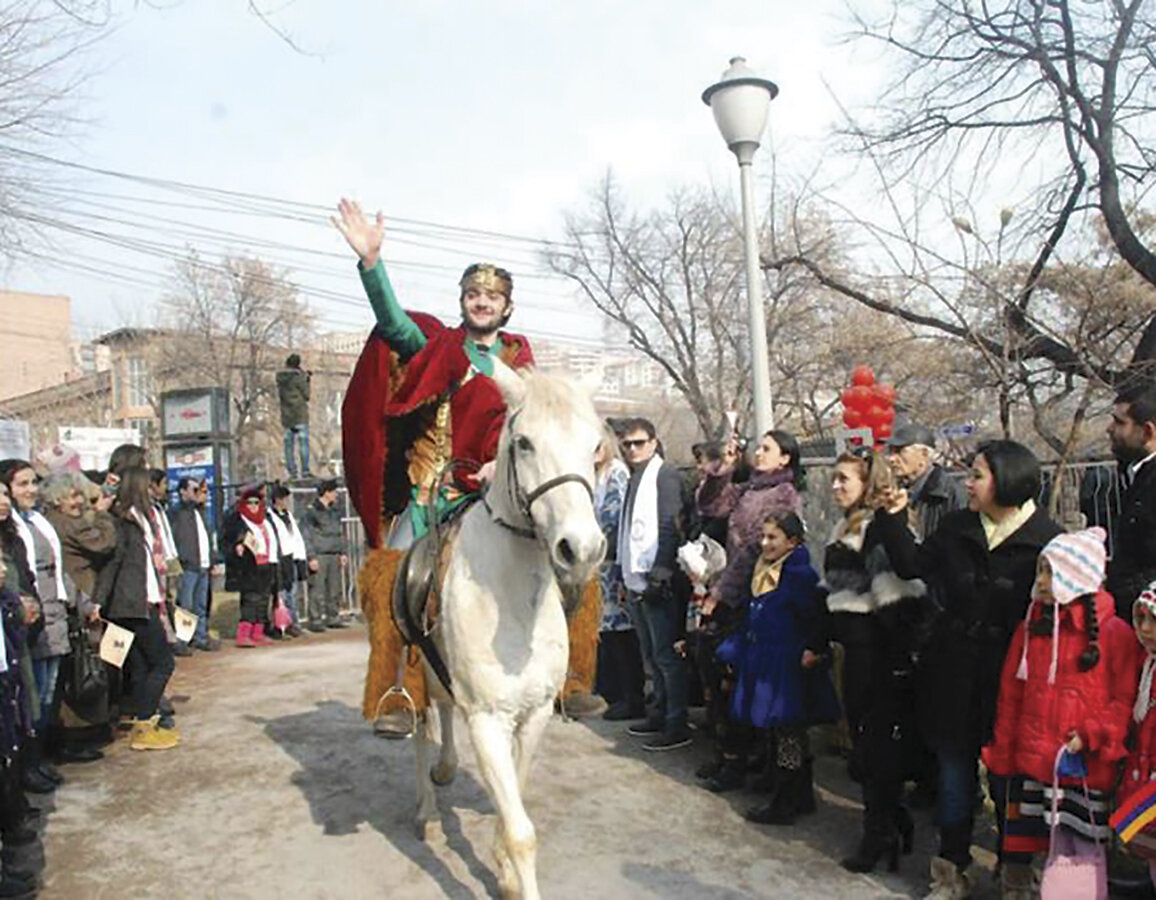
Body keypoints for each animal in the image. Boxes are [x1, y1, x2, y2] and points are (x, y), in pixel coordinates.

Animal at [411, 362, 605, 896]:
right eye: (524, 443)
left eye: (594, 446)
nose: (582, 549)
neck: (514, 606)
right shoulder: (487, 721)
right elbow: (523, 833)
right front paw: (513, 873)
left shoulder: (534, 714)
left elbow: (514, 798)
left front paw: (500, 865)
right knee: (422, 730)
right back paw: (426, 805)